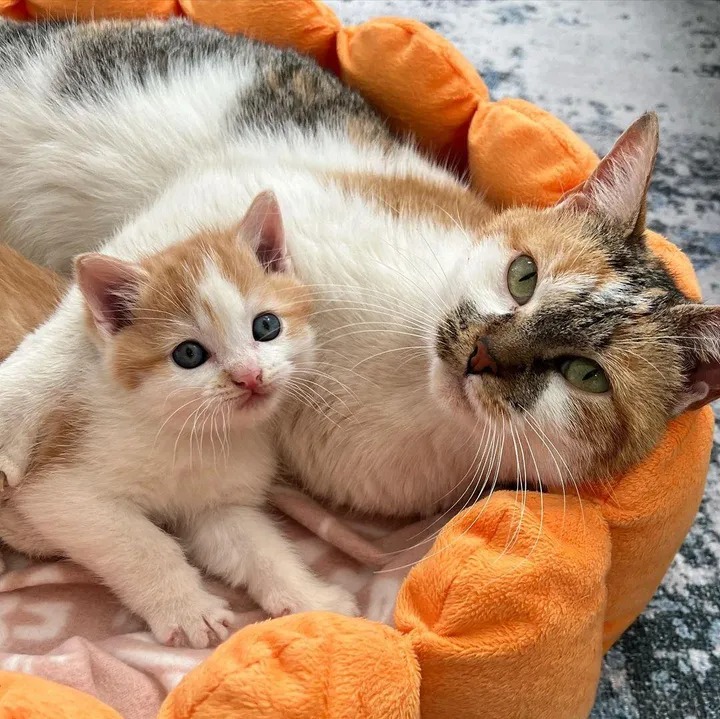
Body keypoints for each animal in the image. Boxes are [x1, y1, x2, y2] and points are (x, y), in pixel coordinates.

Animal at [0, 19, 716, 520]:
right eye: (524, 275)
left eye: (585, 375)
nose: (481, 352)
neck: (404, 377)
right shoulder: (220, 194)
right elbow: (73, 325)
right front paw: (11, 415)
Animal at [0, 194, 358, 648]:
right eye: (188, 354)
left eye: (266, 326)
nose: (249, 376)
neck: (194, 436)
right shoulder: (60, 488)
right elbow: (142, 546)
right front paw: (189, 610)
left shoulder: (214, 505)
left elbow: (260, 548)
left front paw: (312, 599)